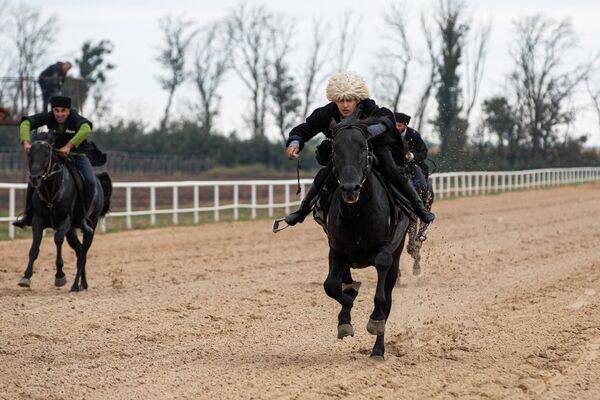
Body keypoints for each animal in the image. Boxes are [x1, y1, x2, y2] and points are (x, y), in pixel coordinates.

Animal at [18, 133, 112, 292]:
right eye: (30, 154)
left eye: (47, 154)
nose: (35, 178)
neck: (52, 191)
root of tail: (99, 184)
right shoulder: (38, 220)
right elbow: (35, 246)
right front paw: (26, 276)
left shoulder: (65, 220)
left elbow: (57, 240)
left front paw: (60, 275)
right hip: (71, 231)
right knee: (79, 250)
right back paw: (83, 283)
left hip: (90, 226)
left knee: (83, 253)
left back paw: (75, 285)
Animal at [324, 118, 412, 360]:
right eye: (335, 150)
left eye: (363, 148)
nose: (350, 188)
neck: (357, 215)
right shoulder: (336, 250)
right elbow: (331, 286)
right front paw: (346, 313)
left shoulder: (387, 249)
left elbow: (381, 299)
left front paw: (375, 321)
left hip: (396, 257)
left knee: (388, 300)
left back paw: (378, 349)